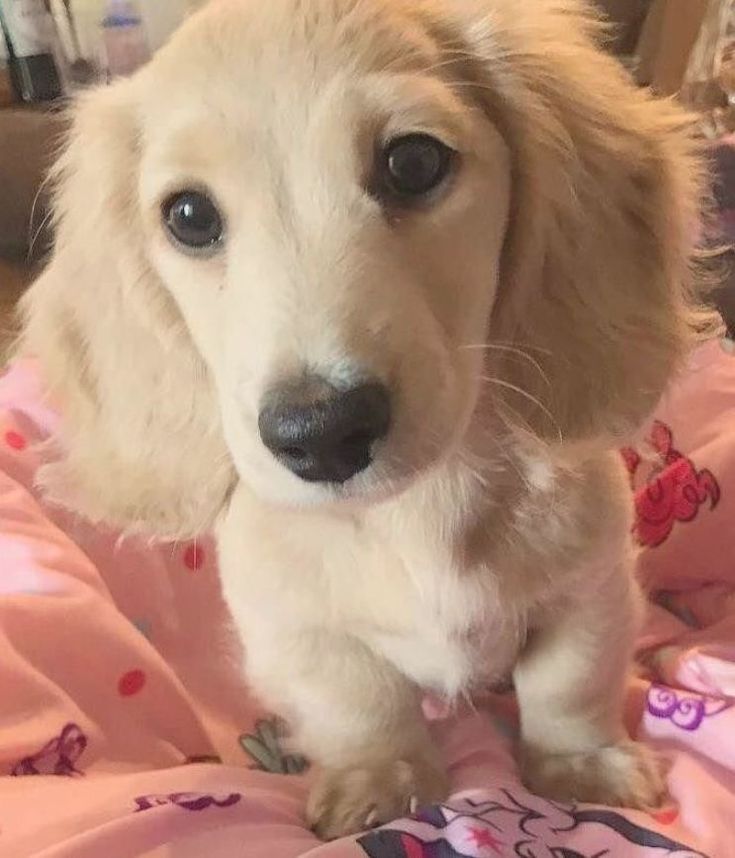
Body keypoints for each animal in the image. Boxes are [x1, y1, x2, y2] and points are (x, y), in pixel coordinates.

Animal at [21, 0, 720, 836]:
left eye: (413, 163)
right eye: (188, 215)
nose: (321, 433)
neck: (415, 509)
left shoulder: (591, 588)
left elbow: (569, 683)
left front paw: (580, 769)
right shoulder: (295, 631)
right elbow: (358, 704)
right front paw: (378, 781)